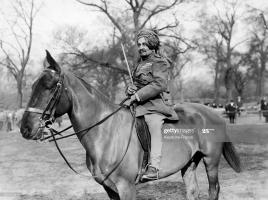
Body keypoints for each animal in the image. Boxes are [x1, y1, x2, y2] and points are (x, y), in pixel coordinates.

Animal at [21, 50, 242, 199]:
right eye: (32, 86)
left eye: (49, 86)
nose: (25, 128)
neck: (105, 133)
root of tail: (211, 112)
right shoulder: (109, 188)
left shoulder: (126, 187)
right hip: (189, 164)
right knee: (193, 192)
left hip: (211, 161)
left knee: (213, 190)